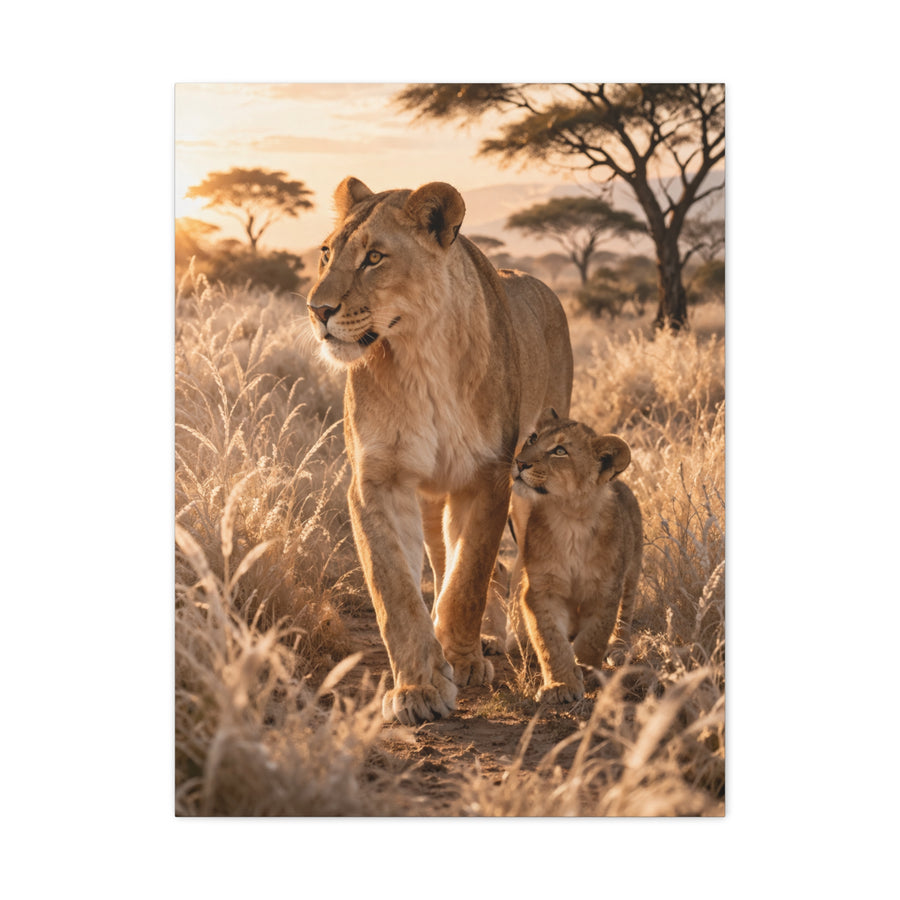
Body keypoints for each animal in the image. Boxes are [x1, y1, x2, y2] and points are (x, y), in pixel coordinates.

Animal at [306, 177, 573, 724]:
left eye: (374, 258)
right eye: (326, 253)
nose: (317, 310)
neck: (419, 353)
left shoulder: (489, 476)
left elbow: (469, 575)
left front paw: (460, 658)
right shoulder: (377, 480)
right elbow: (395, 589)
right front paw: (420, 685)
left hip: (530, 479)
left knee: (496, 564)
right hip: (430, 493)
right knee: (442, 554)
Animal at [508, 408, 642, 704]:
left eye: (560, 451)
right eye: (533, 438)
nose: (519, 462)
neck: (570, 517)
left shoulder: (606, 589)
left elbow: (594, 636)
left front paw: (586, 667)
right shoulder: (540, 589)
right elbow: (550, 641)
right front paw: (561, 685)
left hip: (632, 573)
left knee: (625, 615)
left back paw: (618, 648)